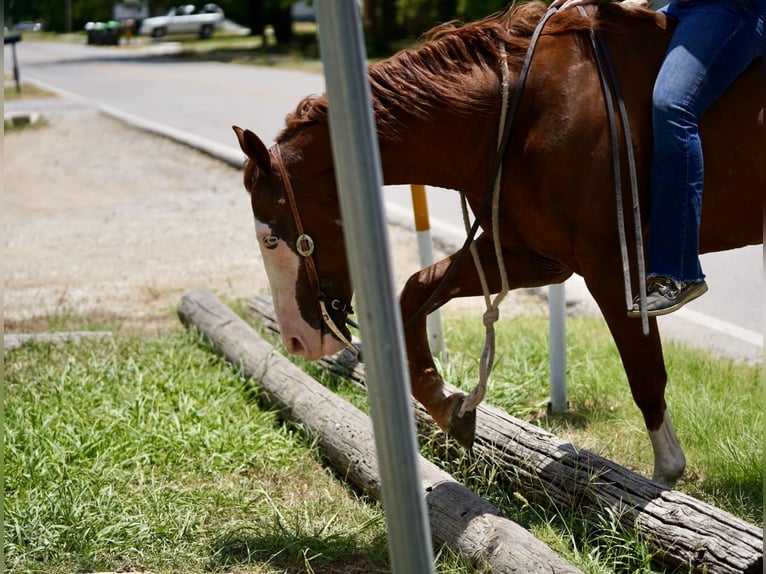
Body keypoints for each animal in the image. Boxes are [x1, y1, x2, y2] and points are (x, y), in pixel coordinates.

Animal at [234, 1, 760, 486]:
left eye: (271, 237)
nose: (296, 340)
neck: (525, 112)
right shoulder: (533, 256)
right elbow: (415, 292)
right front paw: (447, 404)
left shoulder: (612, 269)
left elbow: (646, 376)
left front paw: (664, 481)